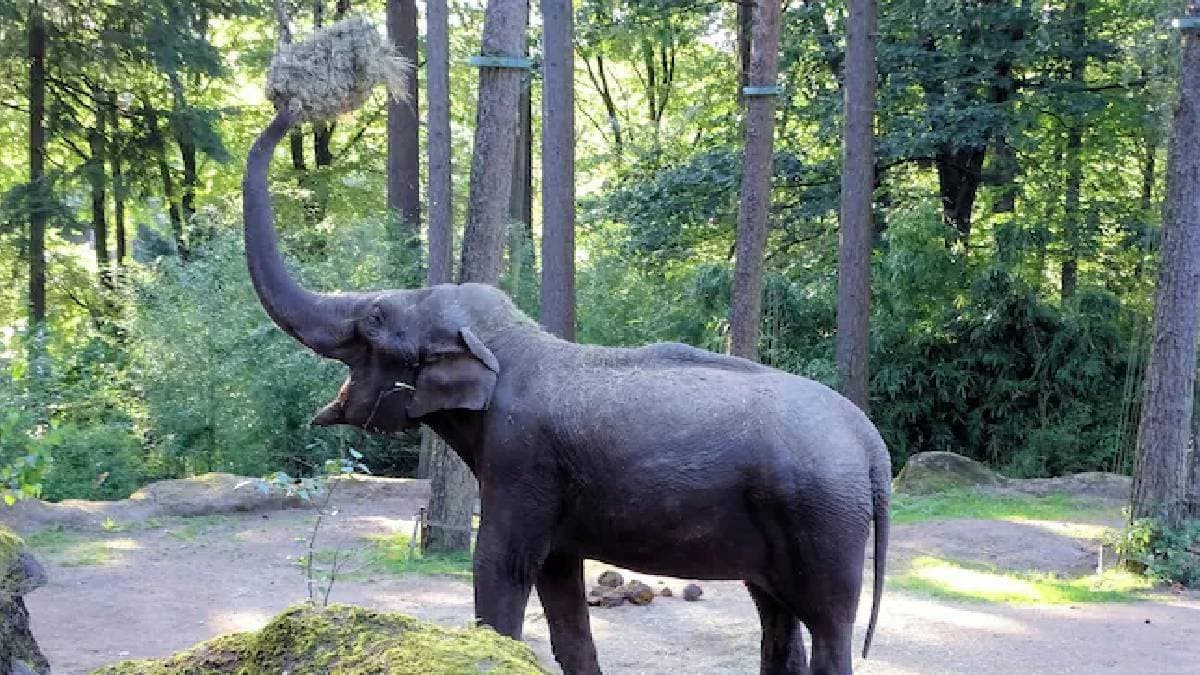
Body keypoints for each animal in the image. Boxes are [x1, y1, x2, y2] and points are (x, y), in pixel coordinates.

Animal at [243, 109, 891, 675]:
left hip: (823, 518)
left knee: (828, 626)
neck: (510, 342)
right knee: (776, 614)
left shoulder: (522, 460)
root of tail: (872, 444)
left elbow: (500, 566)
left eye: (375, 319)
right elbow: (558, 583)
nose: (291, 104)